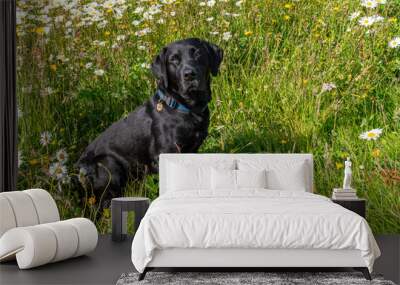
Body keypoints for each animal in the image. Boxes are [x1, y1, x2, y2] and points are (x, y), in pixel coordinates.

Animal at [76, 37, 223, 204]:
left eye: (197, 53)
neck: (186, 107)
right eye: (174, 59)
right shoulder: (165, 153)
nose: (189, 74)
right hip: (108, 164)